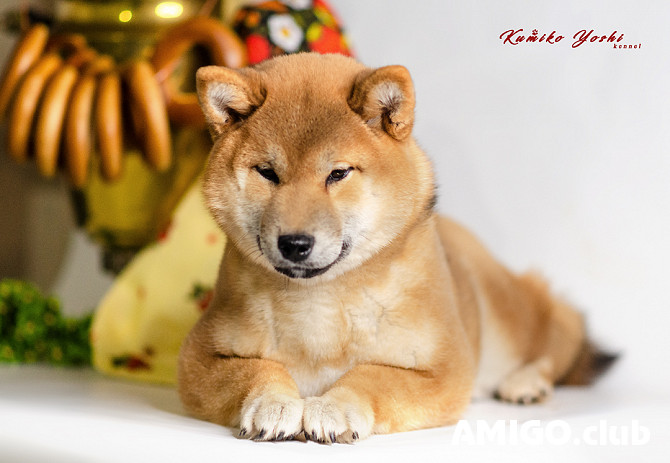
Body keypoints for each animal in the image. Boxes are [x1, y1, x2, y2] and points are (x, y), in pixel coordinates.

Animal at [177, 52, 616, 444]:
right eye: (267, 173)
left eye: (338, 173)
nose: (295, 243)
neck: (319, 303)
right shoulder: (197, 356)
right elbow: (255, 369)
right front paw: (274, 402)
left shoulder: (443, 368)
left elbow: (375, 376)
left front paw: (334, 406)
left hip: (511, 313)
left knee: (559, 333)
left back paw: (525, 382)